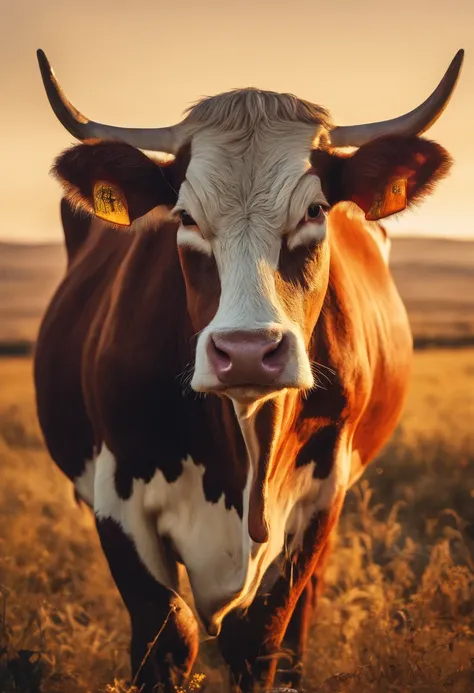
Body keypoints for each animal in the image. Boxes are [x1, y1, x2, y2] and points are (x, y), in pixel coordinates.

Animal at [33, 50, 462, 692]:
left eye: (314, 210)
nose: (247, 350)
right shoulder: (117, 495)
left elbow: (261, 636)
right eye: (185, 216)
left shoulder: (321, 496)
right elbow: (168, 636)